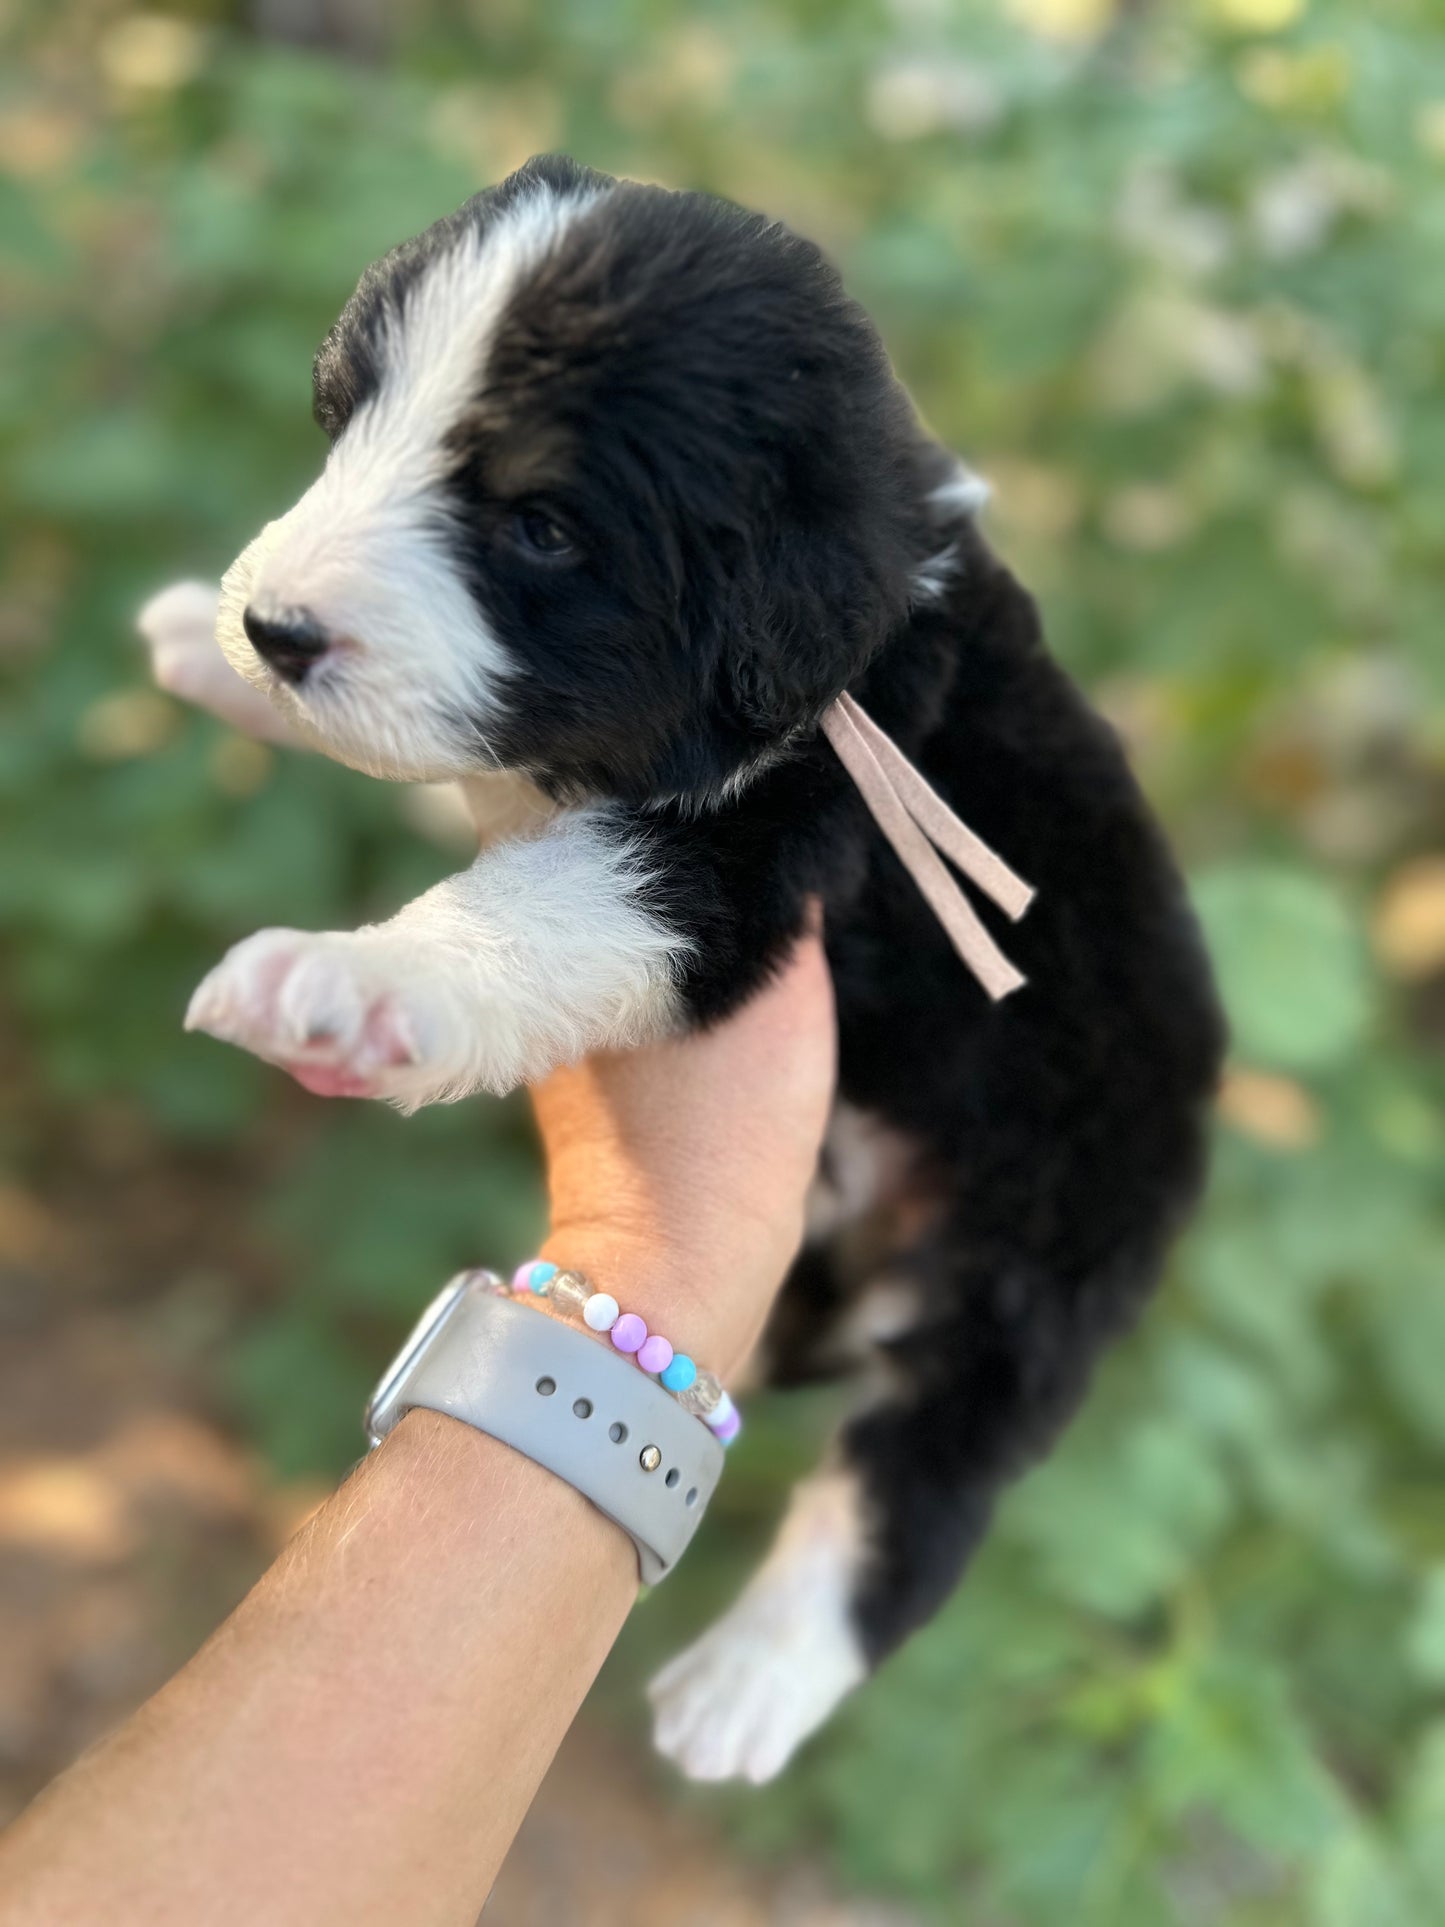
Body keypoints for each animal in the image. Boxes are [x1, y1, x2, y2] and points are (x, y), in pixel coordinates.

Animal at [135, 158, 1225, 1780]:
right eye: (344, 427)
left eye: (537, 527)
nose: (276, 626)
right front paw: (203, 649)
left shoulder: (745, 861)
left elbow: (536, 913)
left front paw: (348, 988)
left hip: (1030, 1259)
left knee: (915, 1486)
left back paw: (749, 1684)